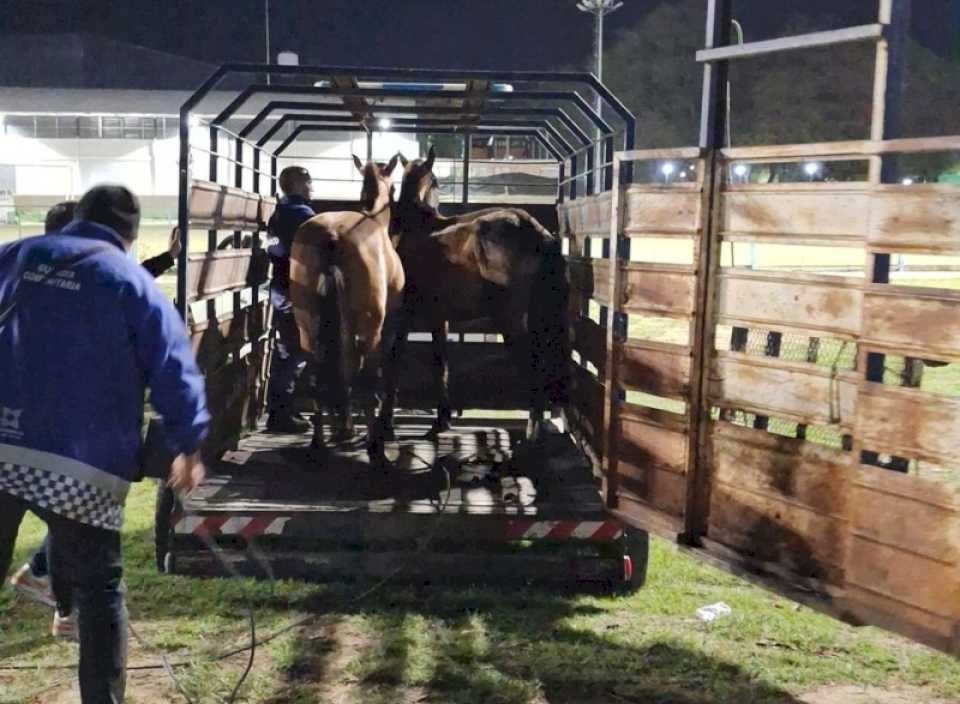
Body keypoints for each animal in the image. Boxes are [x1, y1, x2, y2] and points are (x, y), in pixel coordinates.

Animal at [288, 153, 402, 462]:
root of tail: (332, 236)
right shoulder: (385, 326)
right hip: (368, 325)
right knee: (361, 375)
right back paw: (374, 447)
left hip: (307, 324)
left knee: (318, 370)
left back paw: (319, 440)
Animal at [378, 146, 568, 442]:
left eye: (436, 182)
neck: (418, 229)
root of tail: (533, 229)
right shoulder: (439, 318)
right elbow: (440, 363)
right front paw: (441, 420)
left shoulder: (405, 316)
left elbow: (395, 360)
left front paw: (386, 424)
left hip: (511, 319)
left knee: (532, 361)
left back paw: (531, 432)